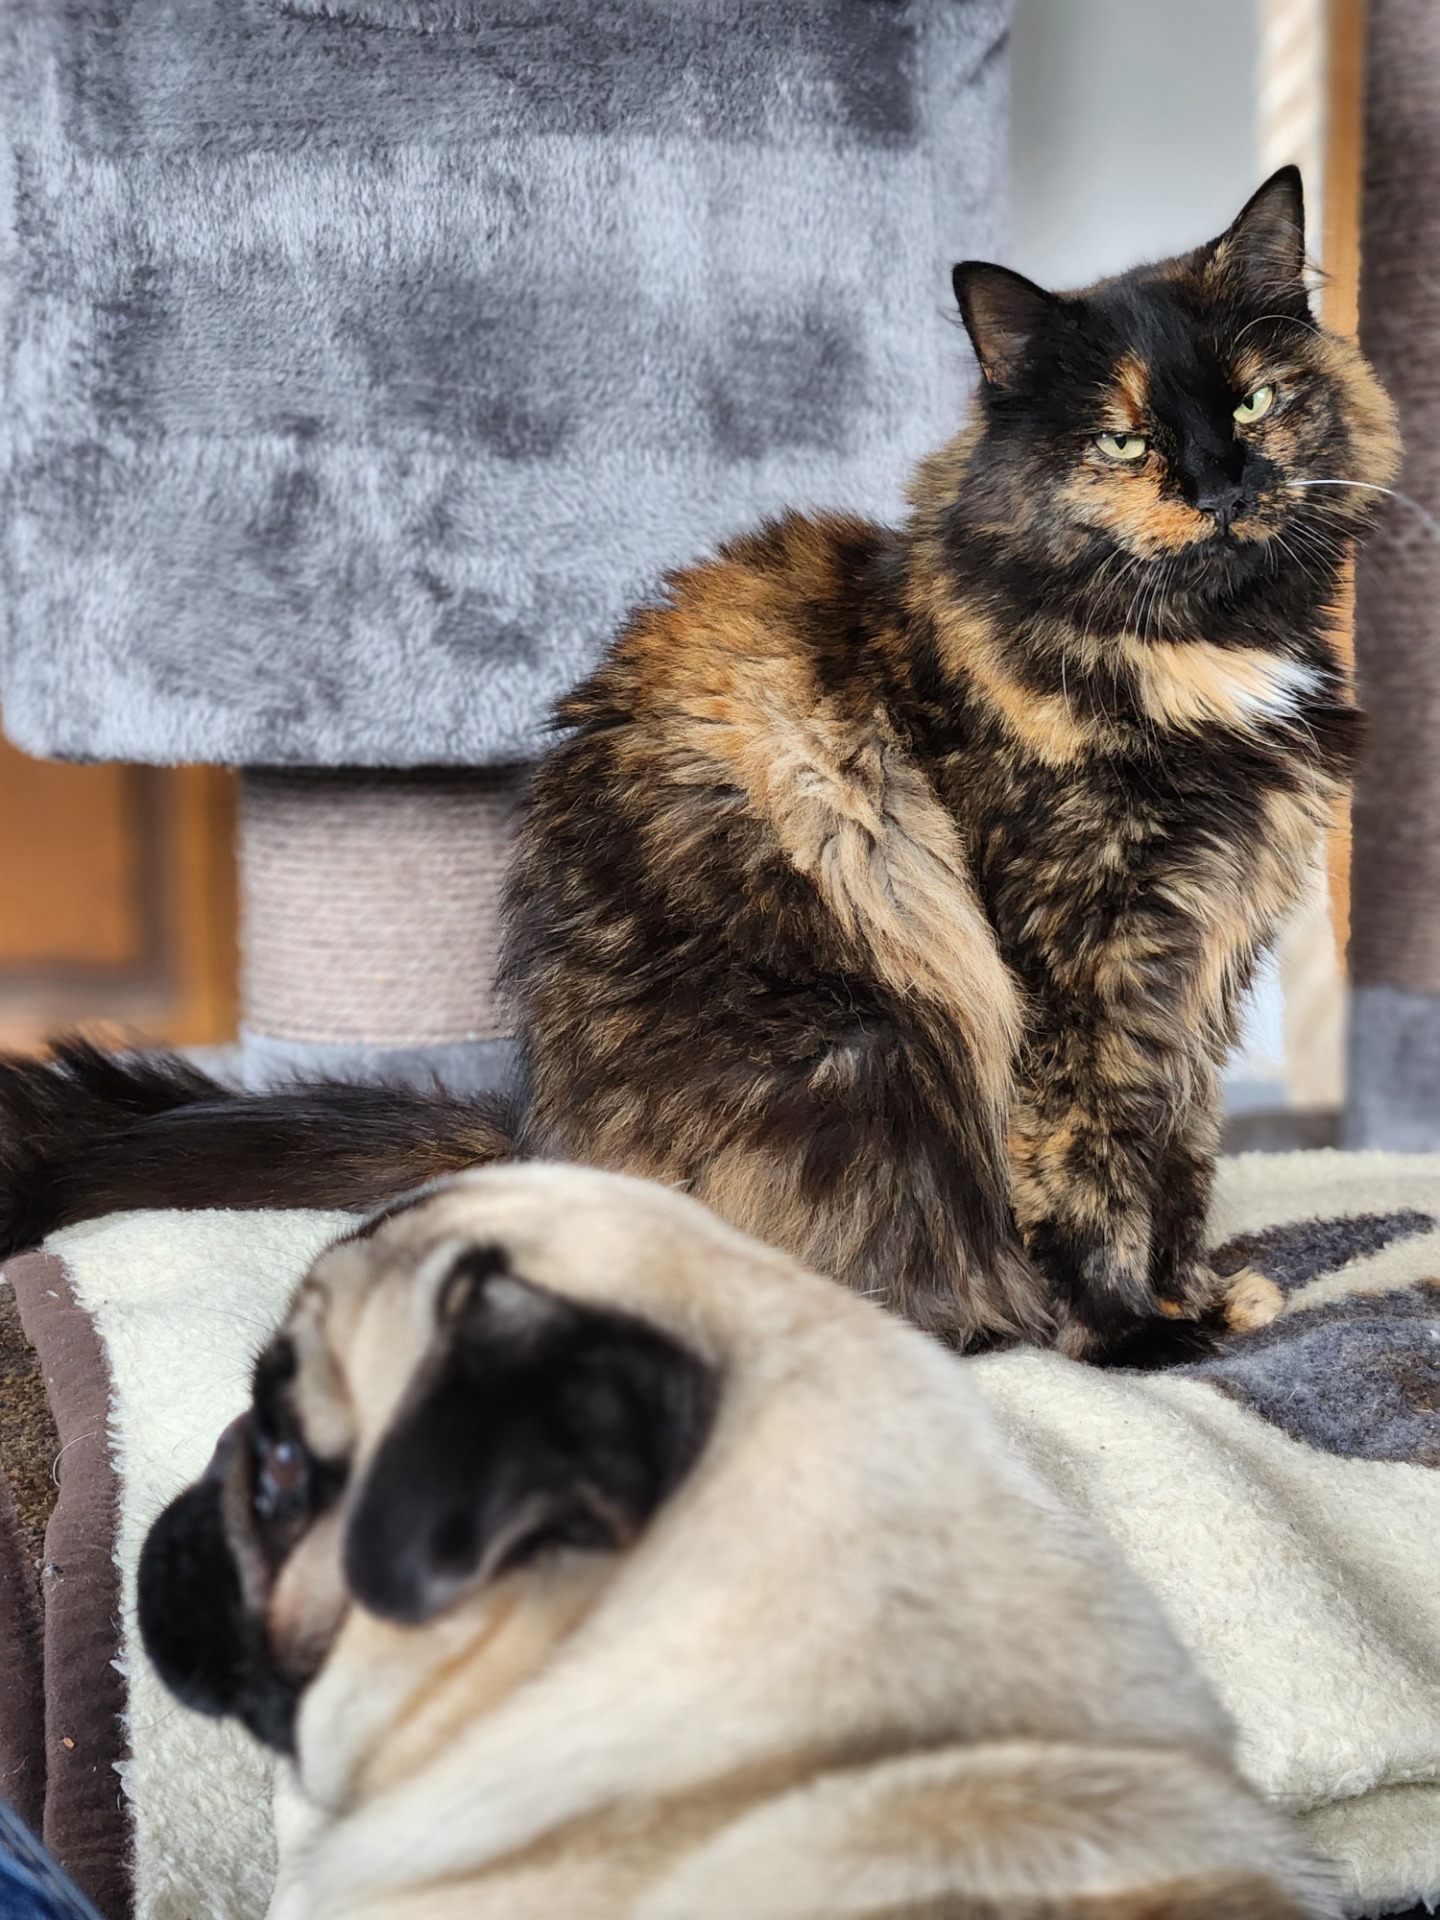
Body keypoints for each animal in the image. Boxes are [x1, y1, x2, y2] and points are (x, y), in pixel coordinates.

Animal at [0, 168, 1399, 1360]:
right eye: (1121, 442)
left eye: (1255, 403)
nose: (1221, 485)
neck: (1203, 658)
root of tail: (533, 1141)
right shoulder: (1082, 963)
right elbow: (1091, 1164)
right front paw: (1133, 1338)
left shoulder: (1207, 953)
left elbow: (1184, 1149)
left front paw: (1198, 1296)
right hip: (867, 1044)